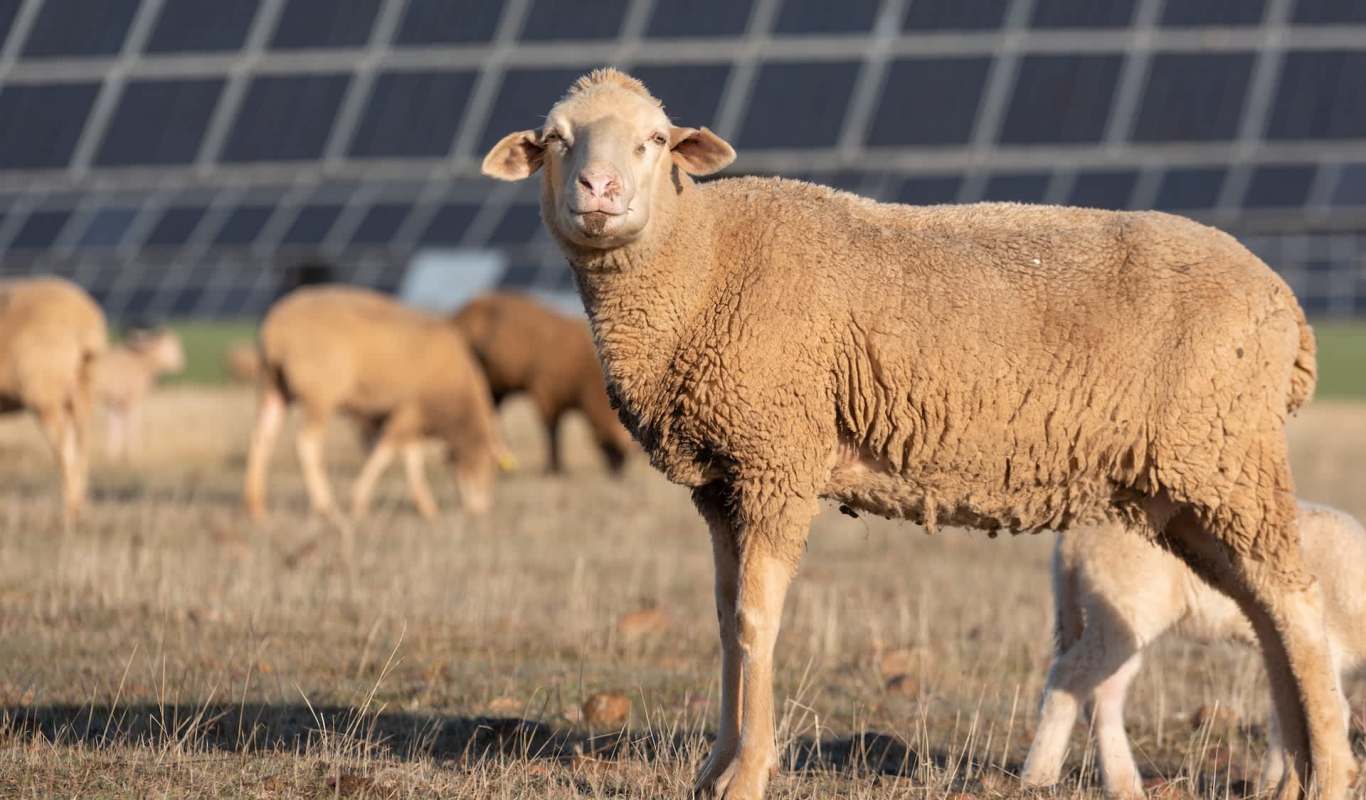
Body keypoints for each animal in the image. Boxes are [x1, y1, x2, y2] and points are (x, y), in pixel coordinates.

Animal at [0, 277, 107, 518]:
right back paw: (78, 507)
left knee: (63, 450)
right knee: (81, 443)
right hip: (82, 384)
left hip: (46, 390)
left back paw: (66, 511)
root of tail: (84, 317)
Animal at [92, 327, 186, 460]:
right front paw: (134, 452)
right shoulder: (133, 400)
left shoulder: (115, 402)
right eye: (172, 345)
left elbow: (115, 424)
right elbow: (133, 424)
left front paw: (113, 454)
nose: (182, 363)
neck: (141, 362)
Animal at [243, 285, 503, 522]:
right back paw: (325, 506)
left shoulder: (411, 417)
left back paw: (256, 505)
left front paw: (426, 506)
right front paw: (359, 502)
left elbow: (412, 458)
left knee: (262, 437)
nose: (482, 510)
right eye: (485, 468)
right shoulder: (410, 409)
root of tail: (275, 329)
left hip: (272, 386)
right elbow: (385, 453)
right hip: (319, 394)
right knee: (307, 444)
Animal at [452, 292, 632, 473]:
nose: (618, 473)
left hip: (495, 388)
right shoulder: (545, 393)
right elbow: (551, 430)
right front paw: (553, 467)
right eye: (612, 446)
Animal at [1022, 501, 1366, 797]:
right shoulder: (1320, 643)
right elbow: (1327, 710)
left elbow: (1285, 715)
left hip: (1116, 617)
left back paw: (1123, 784)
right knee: (1070, 675)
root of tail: (1073, 537)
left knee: (1104, 691)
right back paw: (1038, 776)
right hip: (1124, 605)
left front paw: (1270, 785)